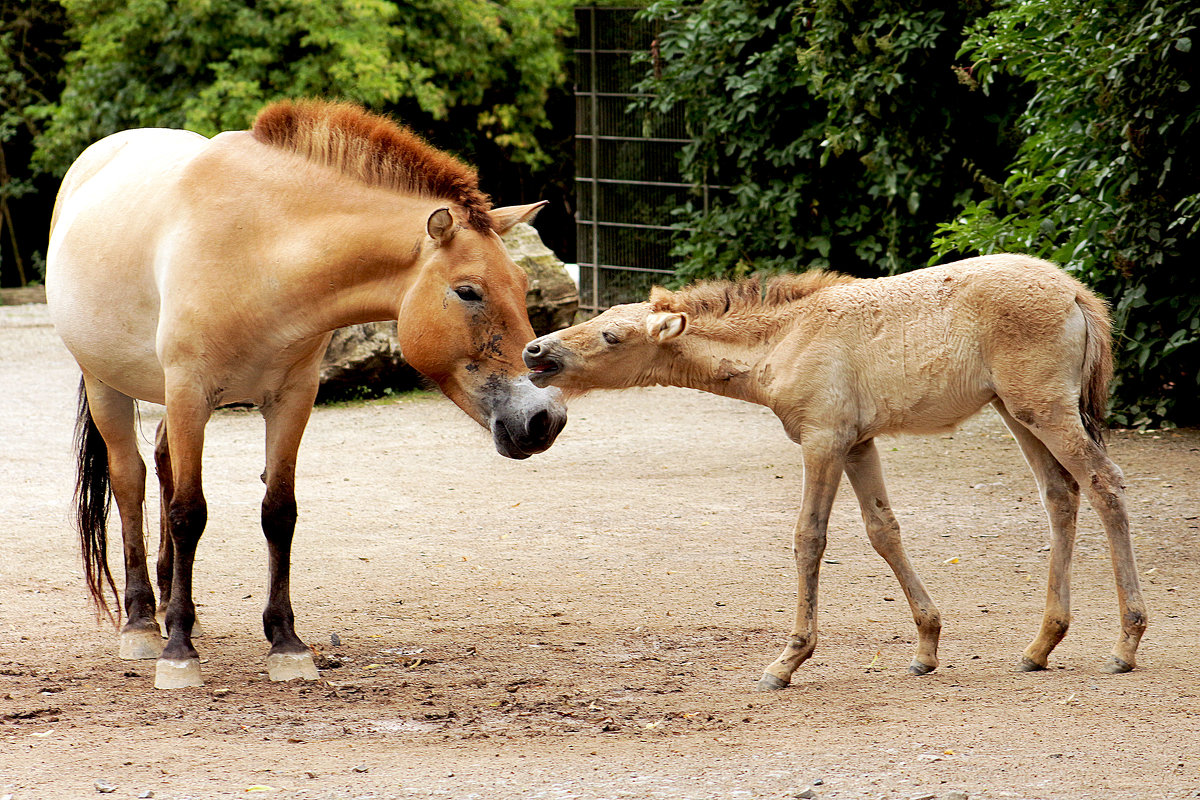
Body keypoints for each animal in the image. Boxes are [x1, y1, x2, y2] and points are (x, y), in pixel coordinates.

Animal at [46, 98, 566, 690]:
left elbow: (279, 512)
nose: (544, 418)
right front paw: (178, 654)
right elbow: (188, 514)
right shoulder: (189, 391)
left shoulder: (291, 399)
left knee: (160, 461)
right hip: (109, 385)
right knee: (130, 480)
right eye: (468, 292)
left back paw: (176, 608)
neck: (259, 251)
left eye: (523, 288)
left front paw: (286, 644)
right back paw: (141, 624)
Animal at [525, 256, 1142, 690]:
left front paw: (787, 660)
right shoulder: (858, 443)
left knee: (1105, 484)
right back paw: (1040, 647)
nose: (535, 352)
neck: (785, 340)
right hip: (1018, 413)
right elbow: (883, 531)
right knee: (1061, 495)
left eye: (611, 336)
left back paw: (1126, 644)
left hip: (1045, 409)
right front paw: (926, 649)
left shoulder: (822, 440)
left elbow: (809, 538)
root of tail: (1074, 291)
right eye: (600, 319)